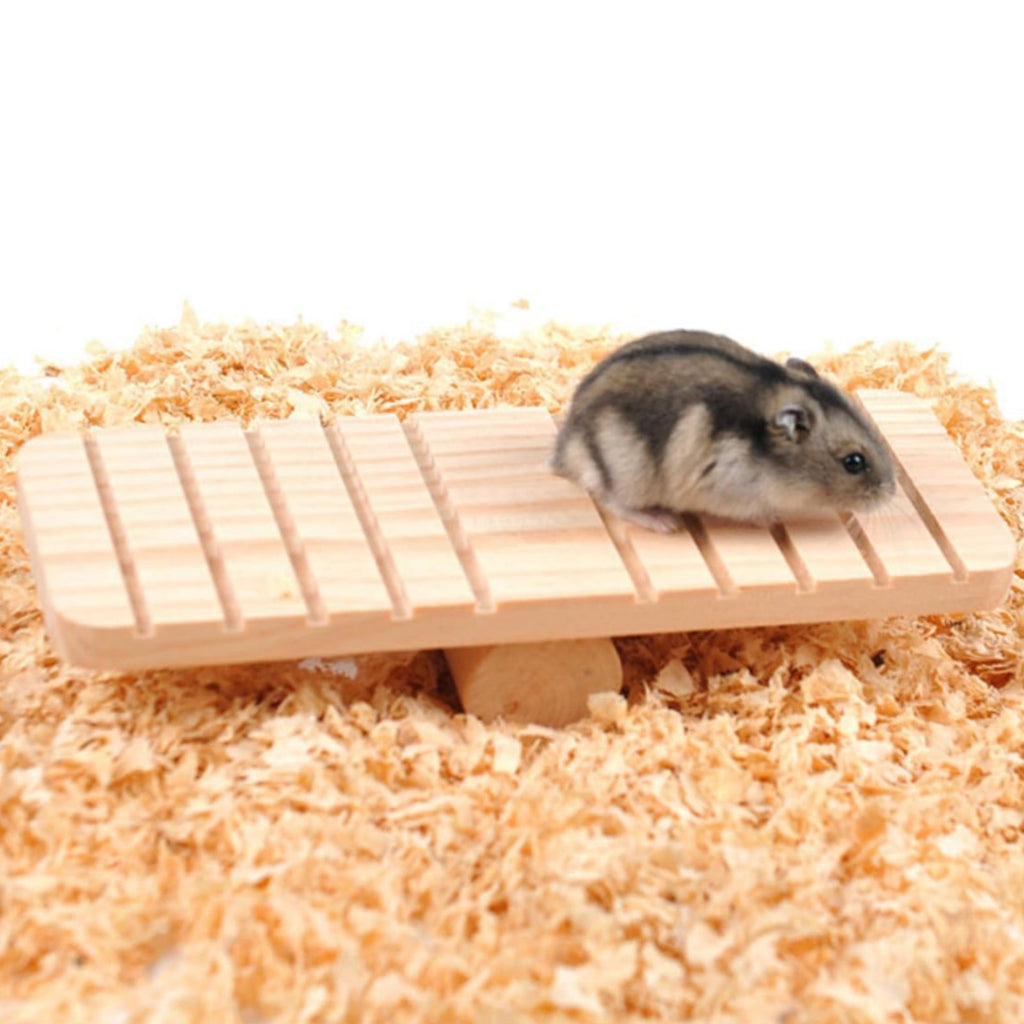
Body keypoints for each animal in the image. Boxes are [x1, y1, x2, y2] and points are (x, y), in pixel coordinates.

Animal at [551, 329, 896, 532]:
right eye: (853, 462)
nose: (891, 492)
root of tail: (564, 451)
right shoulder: (732, 493)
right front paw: (774, 520)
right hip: (627, 474)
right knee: (609, 499)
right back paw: (665, 523)